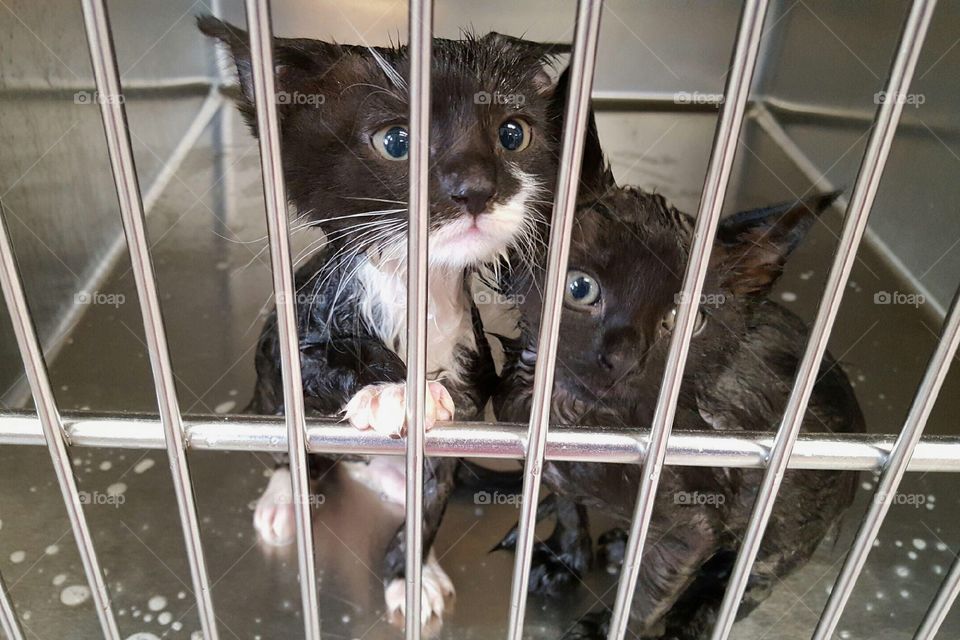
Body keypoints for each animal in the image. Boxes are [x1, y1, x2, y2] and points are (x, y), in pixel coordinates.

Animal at [199, 15, 568, 632]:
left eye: (513, 134)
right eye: (396, 142)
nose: (474, 188)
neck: (414, 298)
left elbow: (432, 502)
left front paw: (411, 574)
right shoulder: (295, 335)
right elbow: (315, 366)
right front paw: (393, 386)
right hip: (265, 395)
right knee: (287, 445)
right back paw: (283, 495)